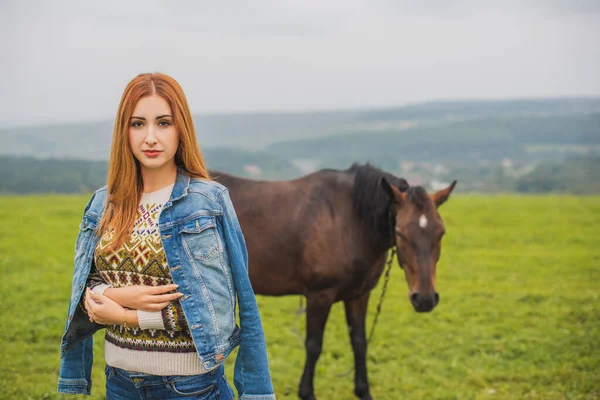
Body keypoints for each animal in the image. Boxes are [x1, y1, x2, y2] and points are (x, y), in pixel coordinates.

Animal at [211, 164, 454, 398]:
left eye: (441, 233)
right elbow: (314, 345)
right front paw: (306, 392)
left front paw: (363, 390)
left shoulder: (359, 295)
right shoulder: (320, 294)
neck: (351, 221)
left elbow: (359, 342)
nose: (425, 299)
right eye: (401, 232)